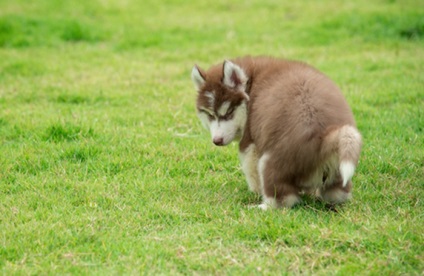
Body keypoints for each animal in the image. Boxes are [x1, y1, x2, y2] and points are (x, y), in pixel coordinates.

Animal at [192, 57, 362, 210]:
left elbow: (250, 169)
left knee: (284, 199)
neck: (251, 83)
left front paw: (255, 191)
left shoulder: (250, 142)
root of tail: (324, 136)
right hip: (336, 170)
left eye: (228, 113)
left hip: (270, 162)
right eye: (210, 115)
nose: (217, 141)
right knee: (337, 193)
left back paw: (261, 206)